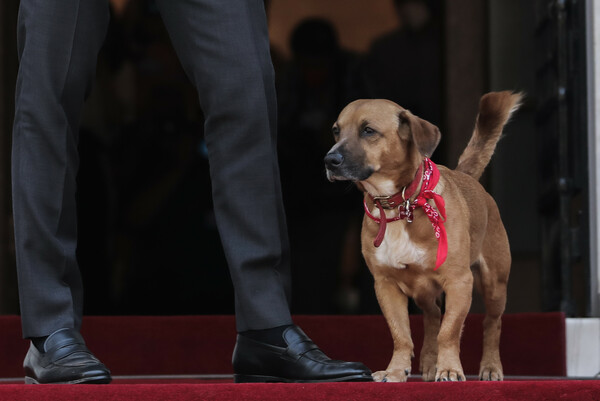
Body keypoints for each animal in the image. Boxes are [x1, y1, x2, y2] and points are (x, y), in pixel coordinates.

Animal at [324, 90, 520, 382]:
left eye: (368, 130)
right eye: (336, 131)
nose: (329, 160)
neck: (399, 204)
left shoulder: (459, 282)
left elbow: (449, 331)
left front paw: (449, 368)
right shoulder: (386, 285)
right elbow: (401, 334)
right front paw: (396, 370)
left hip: (494, 283)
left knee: (491, 323)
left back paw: (490, 366)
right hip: (422, 290)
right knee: (433, 315)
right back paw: (429, 362)